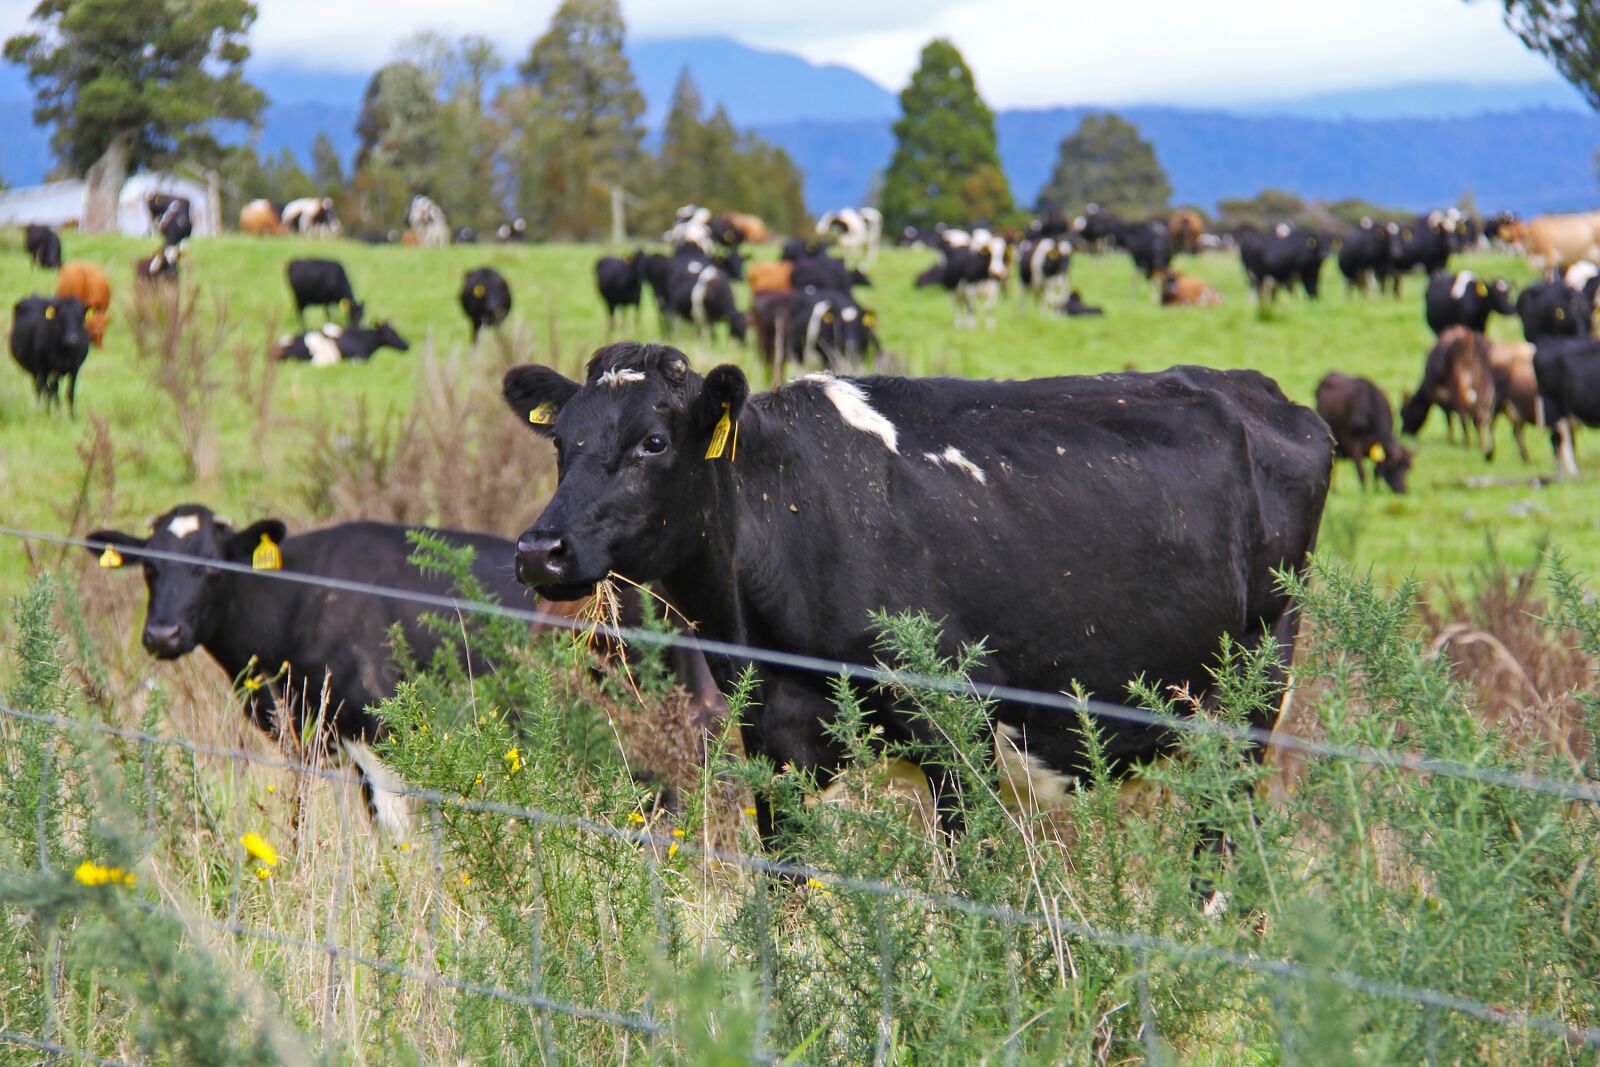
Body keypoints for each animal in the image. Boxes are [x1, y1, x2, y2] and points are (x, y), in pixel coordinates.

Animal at [501, 343, 1332, 877]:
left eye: (653, 440)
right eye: (562, 442)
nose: (541, 549)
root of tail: (1259, 392)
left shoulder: (955, 734)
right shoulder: (776, 742)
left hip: (1252, 697)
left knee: (1220, 848)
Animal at [1400, 326, 1498, 458]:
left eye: (1403, 412)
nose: (1403, 433)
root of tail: (1467, 339)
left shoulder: (1443, 400)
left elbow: (1449, 420)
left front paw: (1451, 441)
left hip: (1458, 390)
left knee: (1464, 418)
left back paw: (1466, 445)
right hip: (1484, 390)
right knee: (1478, 418)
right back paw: (1480, 446)